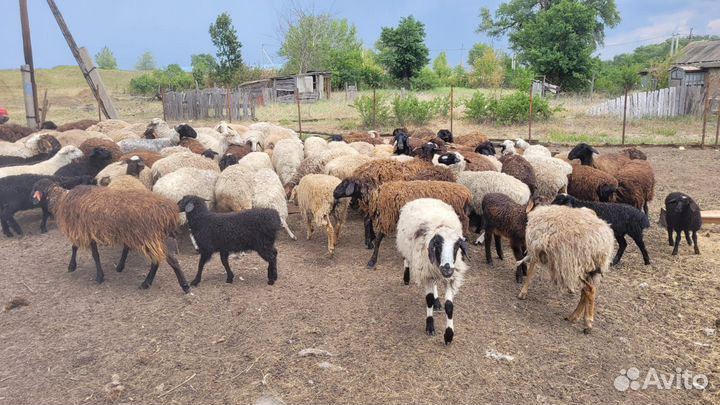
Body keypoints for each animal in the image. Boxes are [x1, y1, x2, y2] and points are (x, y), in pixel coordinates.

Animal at [31, 179, 190, 292]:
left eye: (36, 189)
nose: (32, 201)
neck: (61, 199)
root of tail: (169, 211)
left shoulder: (82, 230)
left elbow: (87, 253)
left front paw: (96, 275)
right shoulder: (86, 231)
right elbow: (81, 249)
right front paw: (75, 267)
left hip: (148, 236)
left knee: (165, 260)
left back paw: (180, 286)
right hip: (158, 237)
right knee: (163, 260)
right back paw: (155, 283)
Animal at [395, 198, 469, 344]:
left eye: (456, 246)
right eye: (437, 244)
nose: (447, 268)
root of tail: (424, 198)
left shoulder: (450, 278)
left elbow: (449, 306)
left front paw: (449, 334)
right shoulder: (426, 274)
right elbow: (428, 300)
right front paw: (429, 326)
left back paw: (437, 302)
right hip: (404, 245)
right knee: (405, 259)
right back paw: (406, 278)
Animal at [517, 204, 614, 334]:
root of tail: (601, 243)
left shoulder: (535, 248)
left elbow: (531, 271)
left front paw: (523, 292)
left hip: (575, 265)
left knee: (589, 290)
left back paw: (588, 323)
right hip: (592, 270)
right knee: (585, 291)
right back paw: (574, 316)